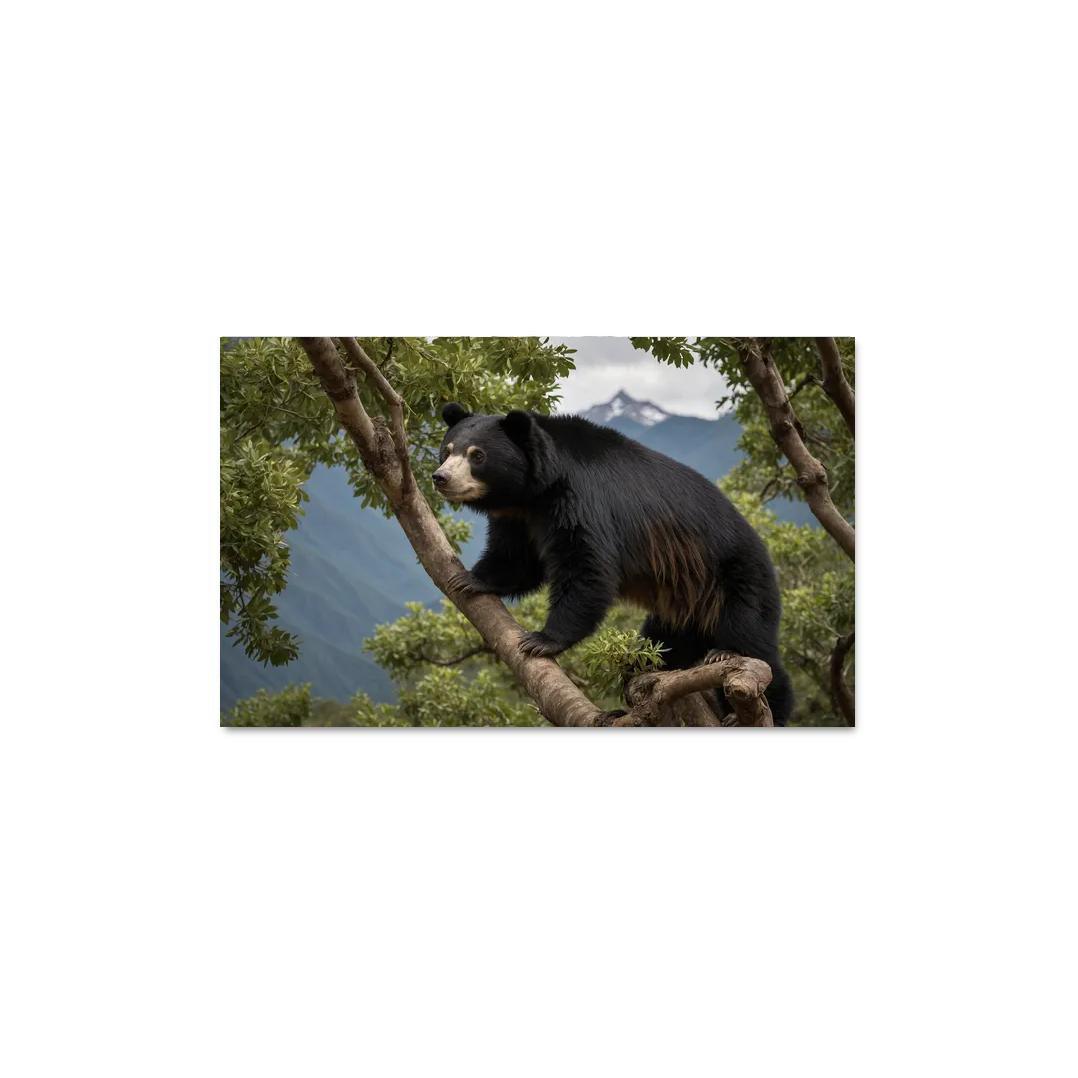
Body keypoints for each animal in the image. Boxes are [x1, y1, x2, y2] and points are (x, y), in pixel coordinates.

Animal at [433, 403, 794, 725]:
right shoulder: (520, 516)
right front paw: (470, 579)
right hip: (684, 599)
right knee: (667, 640)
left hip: (735, 575)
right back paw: (642, 667)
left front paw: (541, 640)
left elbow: (587, 566)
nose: (440, 478)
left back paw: (746, 686)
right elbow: (518, 558)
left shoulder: (582, 499)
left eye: (477, 455)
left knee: (752, 637)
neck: (537, 490)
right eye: (447, 450)